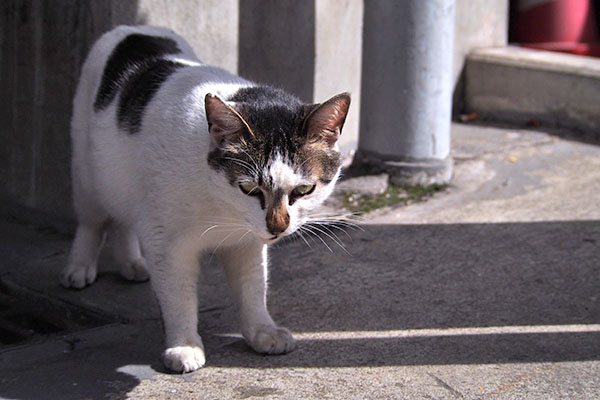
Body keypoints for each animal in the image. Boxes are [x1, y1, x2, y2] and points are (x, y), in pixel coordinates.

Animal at [59, 26, 352, 374]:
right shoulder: (166, 242)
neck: (222, 206)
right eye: (250, 189)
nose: (278, 227)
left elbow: (253, 287)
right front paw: (183, 346)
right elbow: (179, 296)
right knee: (92, 222)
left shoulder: (246, 243)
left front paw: (262, 332)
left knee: (123, 219)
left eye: (303, 190)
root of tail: (131, 29)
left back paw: (131, 264)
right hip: (87, 173)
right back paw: (79, 267)